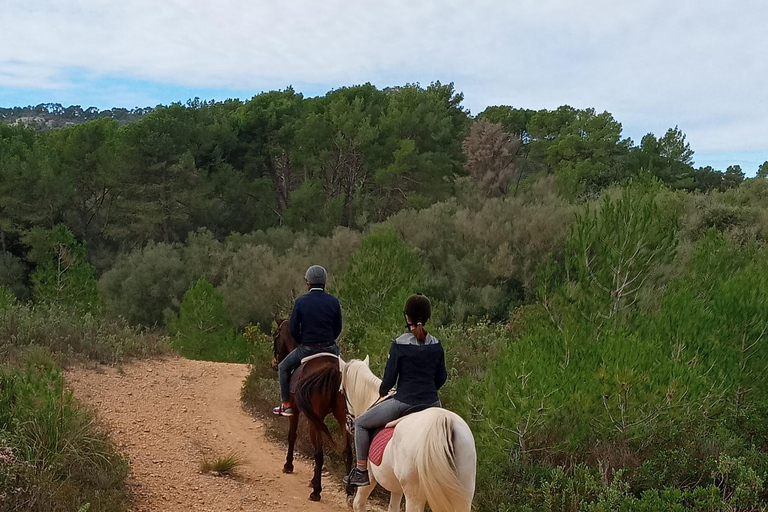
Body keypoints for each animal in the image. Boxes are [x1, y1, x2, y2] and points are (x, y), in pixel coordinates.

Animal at [272, 314, 352, 502]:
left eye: (275, 336)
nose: (274, 363)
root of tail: (332, 370)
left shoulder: (295, 411)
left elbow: (292, 435)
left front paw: (288, 465)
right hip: (342, 418)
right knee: (347, 452)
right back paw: (350, 493)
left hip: (314, 420)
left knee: (319, 453)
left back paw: (316, 491)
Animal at [340, 356, 474, 512]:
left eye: (342, 392)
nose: (349, 424)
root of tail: (444, 421)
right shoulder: (396, 488)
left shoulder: (370, 479)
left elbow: (358, 503)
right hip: (464, 493)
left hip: (414, 495)